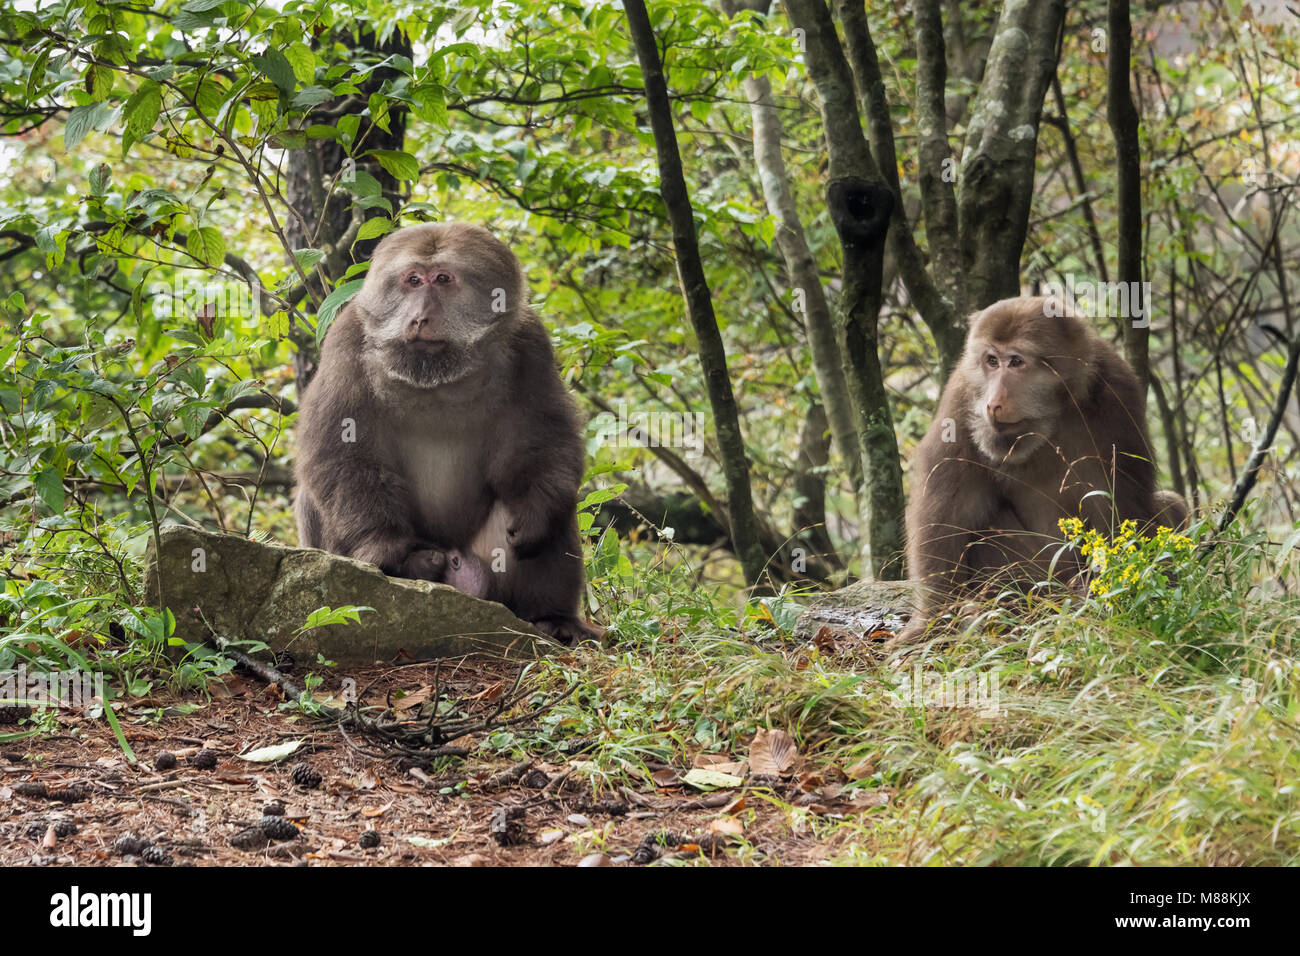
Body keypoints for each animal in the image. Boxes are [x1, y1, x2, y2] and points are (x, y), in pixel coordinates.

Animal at [293, 222, 602, 644]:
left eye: (442, 279)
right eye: (412, 280)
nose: (420, 317)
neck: (436, 375)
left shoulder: (530, 342)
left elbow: (542, 439)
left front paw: (536, 514)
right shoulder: (346, 340)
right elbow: (338, 450)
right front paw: (385, 550)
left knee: (551, 508)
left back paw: (553, 619)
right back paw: (417, 566)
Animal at [899, 295, 1188, 641]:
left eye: (1016, 362)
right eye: (991, 361)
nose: (993, 403)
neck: (1050, 415)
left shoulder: (1118, 395)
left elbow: (1119, 509)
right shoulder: (962, 397)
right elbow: (947, 516)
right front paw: (931, 623)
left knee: (1172, 503)